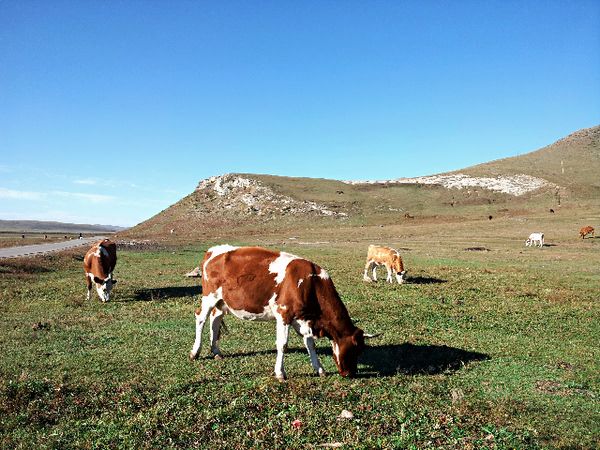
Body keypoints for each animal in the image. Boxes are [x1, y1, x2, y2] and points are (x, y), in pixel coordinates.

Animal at [189, 246, 366, 380]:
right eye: (355, 349)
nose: (350, 373)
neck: (311, 283)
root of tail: (213, 250)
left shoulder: (302, 318)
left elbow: (310, 343)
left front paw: (319, 369)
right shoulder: (284, 313)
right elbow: (283, 344)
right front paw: (280, 373)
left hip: (222, 301)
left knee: (215, 319)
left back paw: (216, 351)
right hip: (209, 296)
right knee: (201, 318)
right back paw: (195, 352)